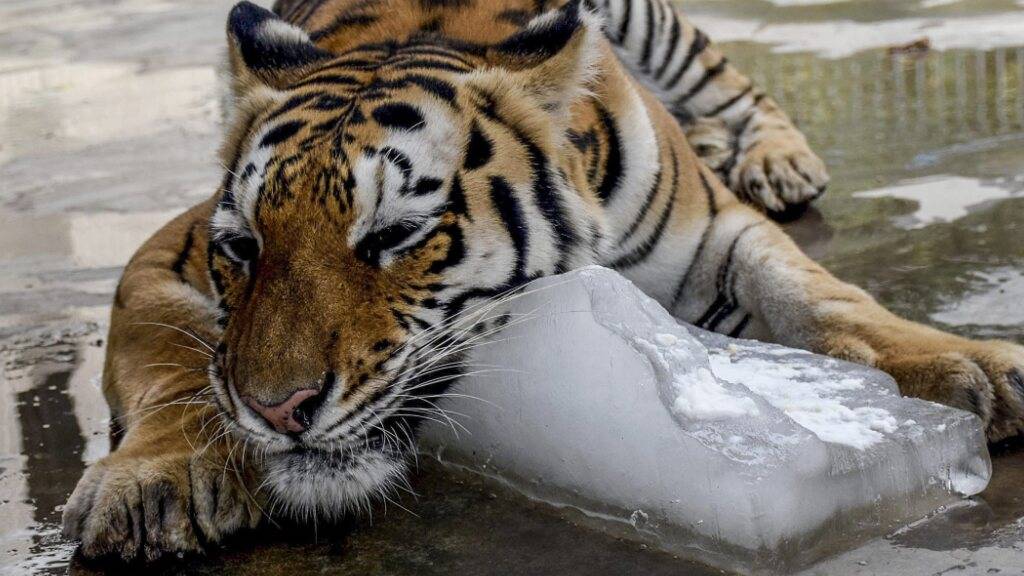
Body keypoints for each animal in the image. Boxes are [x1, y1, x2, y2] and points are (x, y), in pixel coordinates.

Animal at [62, 0, 1024, 562]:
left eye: (394, 236)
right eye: (244, 247)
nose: (277, 410)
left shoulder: (718, 231)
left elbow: (819, 290)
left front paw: (971, 367)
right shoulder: (161, 256)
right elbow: (178, 366)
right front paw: (151, 481)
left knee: (737, 85)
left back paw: (776, 157)